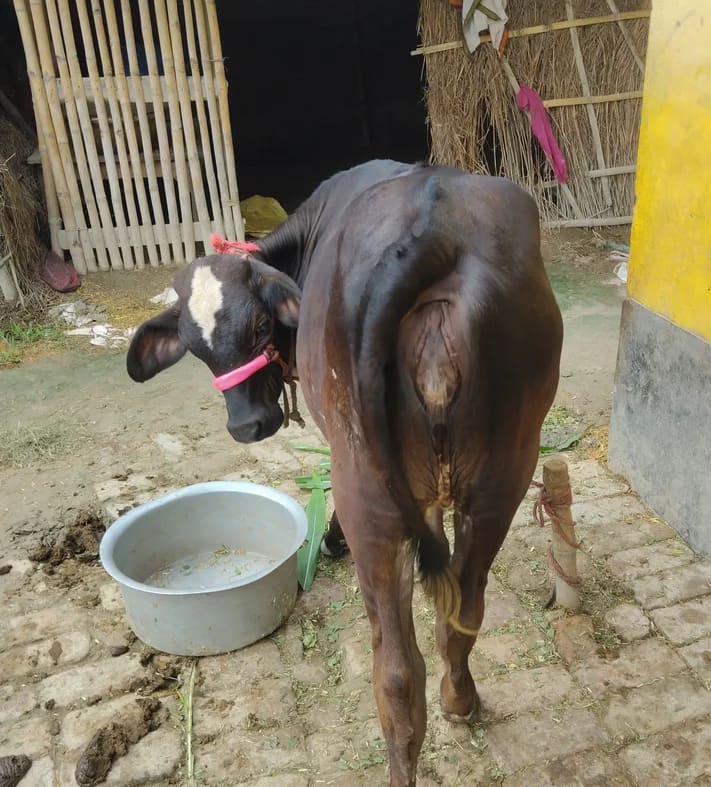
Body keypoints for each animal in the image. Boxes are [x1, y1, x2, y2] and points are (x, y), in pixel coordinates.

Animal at [126, 160, 563, 786]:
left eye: (261, 327)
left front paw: (329, 539)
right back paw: (461, 701)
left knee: (398, 674)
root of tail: (433, 233)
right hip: (502, 477)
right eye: (195, 347)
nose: (247, 425)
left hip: (368, 490)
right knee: (461, 609)